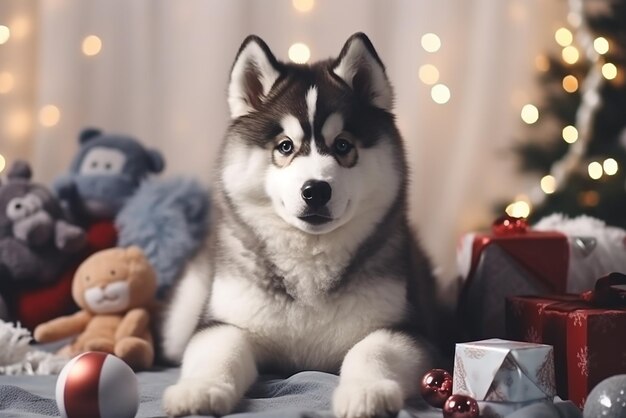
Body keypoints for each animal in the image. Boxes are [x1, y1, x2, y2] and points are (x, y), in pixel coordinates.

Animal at [160, 33, 434, 418]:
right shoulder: (223, 323)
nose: (316, 190)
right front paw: (200, 389)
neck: (309, 260)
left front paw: (367, 391)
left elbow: (370, 350)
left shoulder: (406, 329)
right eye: (286, 146)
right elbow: (219, 351)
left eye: (343, 145)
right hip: (181, 317)